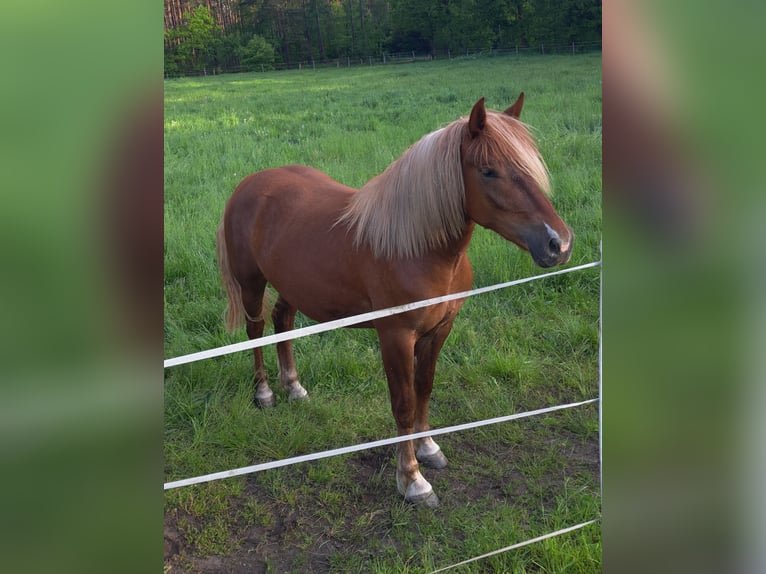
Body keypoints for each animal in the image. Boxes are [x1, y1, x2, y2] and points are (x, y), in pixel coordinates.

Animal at [216, 94, 573, 507]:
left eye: (530, 164)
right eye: (488, 171)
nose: (558, 243)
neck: (416, 247)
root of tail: (249, 184)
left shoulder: (440, 330)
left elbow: (425, 388)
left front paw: (429, 448)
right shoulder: (396, 337)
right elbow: (403, 403)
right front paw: (412, 480)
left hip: (292, 286)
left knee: (282, 323)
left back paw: (294, 387)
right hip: (251, 283)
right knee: (256, 329)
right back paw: (264, 393)